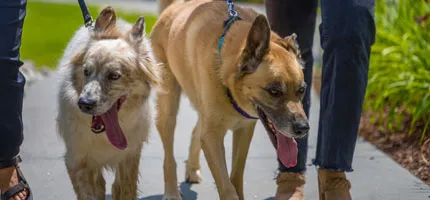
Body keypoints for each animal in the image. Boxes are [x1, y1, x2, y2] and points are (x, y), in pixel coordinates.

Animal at [151, 0, 310, 199]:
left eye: (301, 90)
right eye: (274, 91)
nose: (303, 128)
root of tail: (174, 6)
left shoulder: (244, 130)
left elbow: (236, 176)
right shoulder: (212, 136)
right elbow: (227, 187)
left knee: (196, 131)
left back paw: (193, 169)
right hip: (168, 108)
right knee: (169, 155)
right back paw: (172, 191)